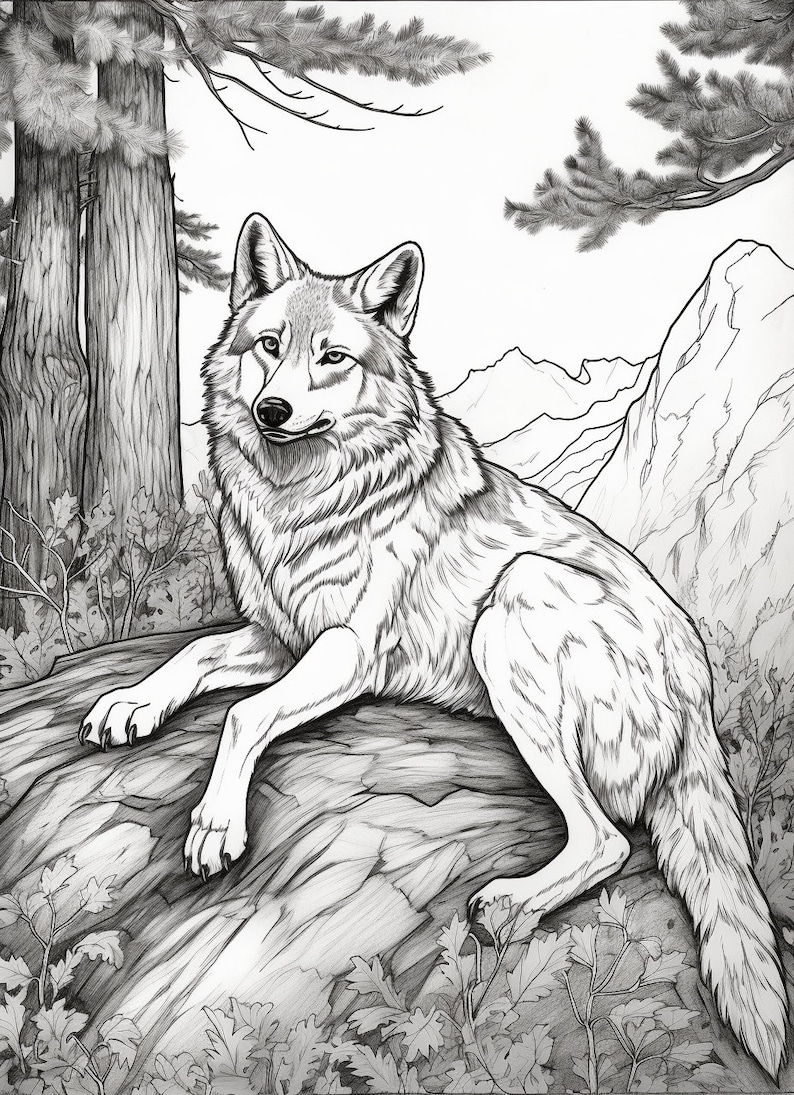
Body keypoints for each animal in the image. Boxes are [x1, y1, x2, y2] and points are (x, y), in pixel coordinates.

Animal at [80, 214, 787, 1075]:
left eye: (332, 357)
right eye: (269, 345)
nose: (274, 408)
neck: (304, 499)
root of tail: (700, 703)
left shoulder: (346, 650)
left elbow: (242, 716)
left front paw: (216, 825)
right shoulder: (277, 638)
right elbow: (188, 659)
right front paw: (128, 703)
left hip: (515, 601)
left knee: (609, 840)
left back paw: (511, 902)